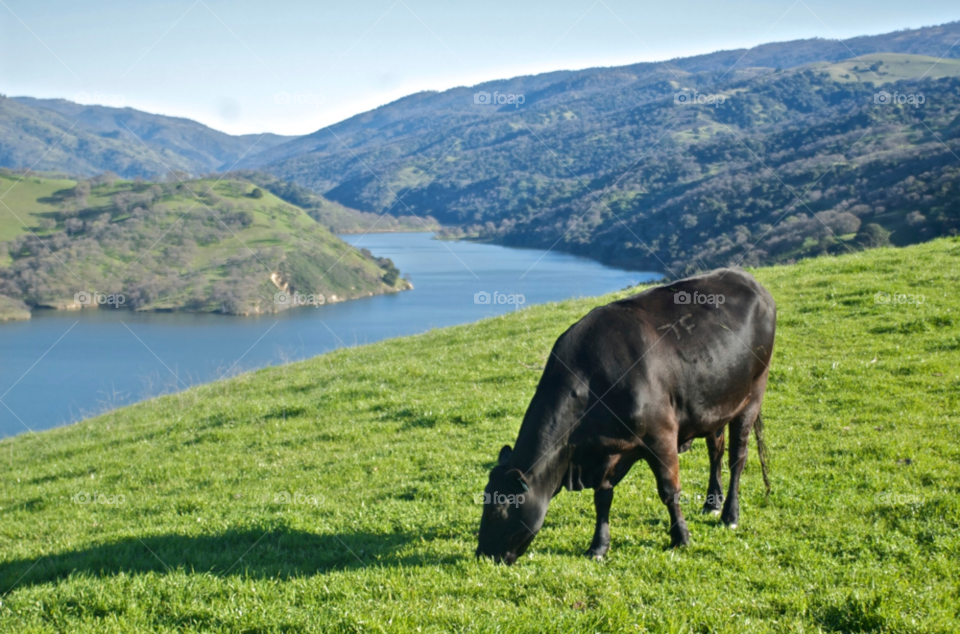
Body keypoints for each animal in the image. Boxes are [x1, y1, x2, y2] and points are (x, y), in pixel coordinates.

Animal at [476, 266, 776, 564]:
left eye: (498, 509)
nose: (482, 554)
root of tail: (747, 278)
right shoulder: (608, 450)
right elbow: (602, 497)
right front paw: (598, 547)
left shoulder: (661, 435)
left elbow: (669, 491)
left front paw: (681, 537)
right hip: (717, 404)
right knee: (716, 451)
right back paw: (712, 503)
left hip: (754, 394)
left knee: (738, 457)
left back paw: (730, 515)